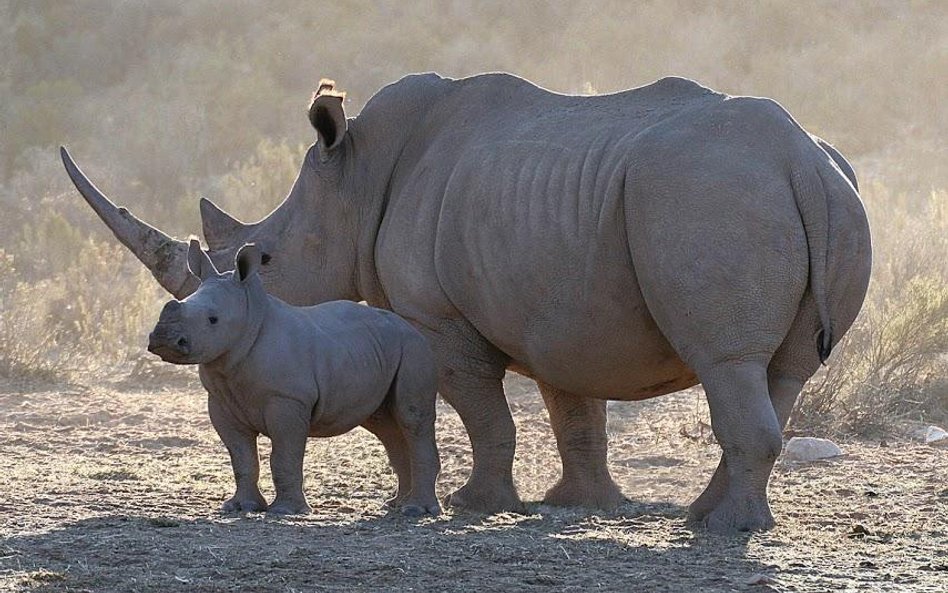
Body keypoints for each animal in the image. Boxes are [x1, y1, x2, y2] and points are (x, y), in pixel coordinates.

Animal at [146, 238, 442, 516]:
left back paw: (416, 510)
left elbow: (283, 457)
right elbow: (241, 458)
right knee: (385, 425)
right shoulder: (220, 401)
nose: (163, 340)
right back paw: (397, 504)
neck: (250, 321)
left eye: (213, 320)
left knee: (411, 418)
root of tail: (408, 326)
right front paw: (240, 506)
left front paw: (285, 511)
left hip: (414, 349)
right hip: (375, 350)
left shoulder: (288, 400)